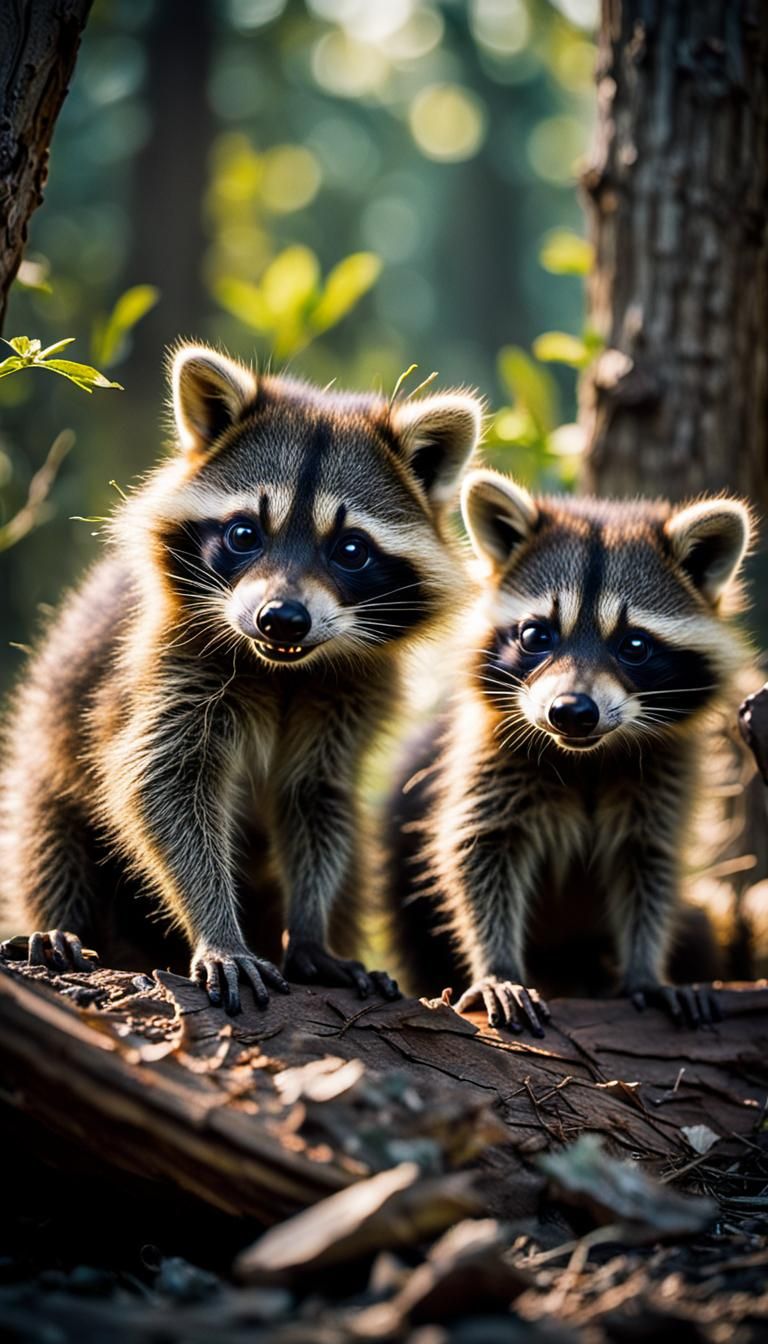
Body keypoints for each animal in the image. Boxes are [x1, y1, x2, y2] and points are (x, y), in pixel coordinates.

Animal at [0, 345, 482, 1013]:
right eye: (244, 533)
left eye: (350, 550)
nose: (282, 618)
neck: (285, 666)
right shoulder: (169, 659)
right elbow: (163, 784)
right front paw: (218, 930)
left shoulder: (353, 692)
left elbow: (316, 796)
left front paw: (309, 929)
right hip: (49, 755)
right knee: (47, 831)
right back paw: (56, 924)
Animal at [386, 469, 753, 1034]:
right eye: (537, 635)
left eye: (634, 645)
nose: (571, 711)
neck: (587, 756)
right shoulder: (491, 753)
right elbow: (478, 849)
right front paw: (497, 966)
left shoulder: (665, 775)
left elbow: (651, 863)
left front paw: (645, 967)